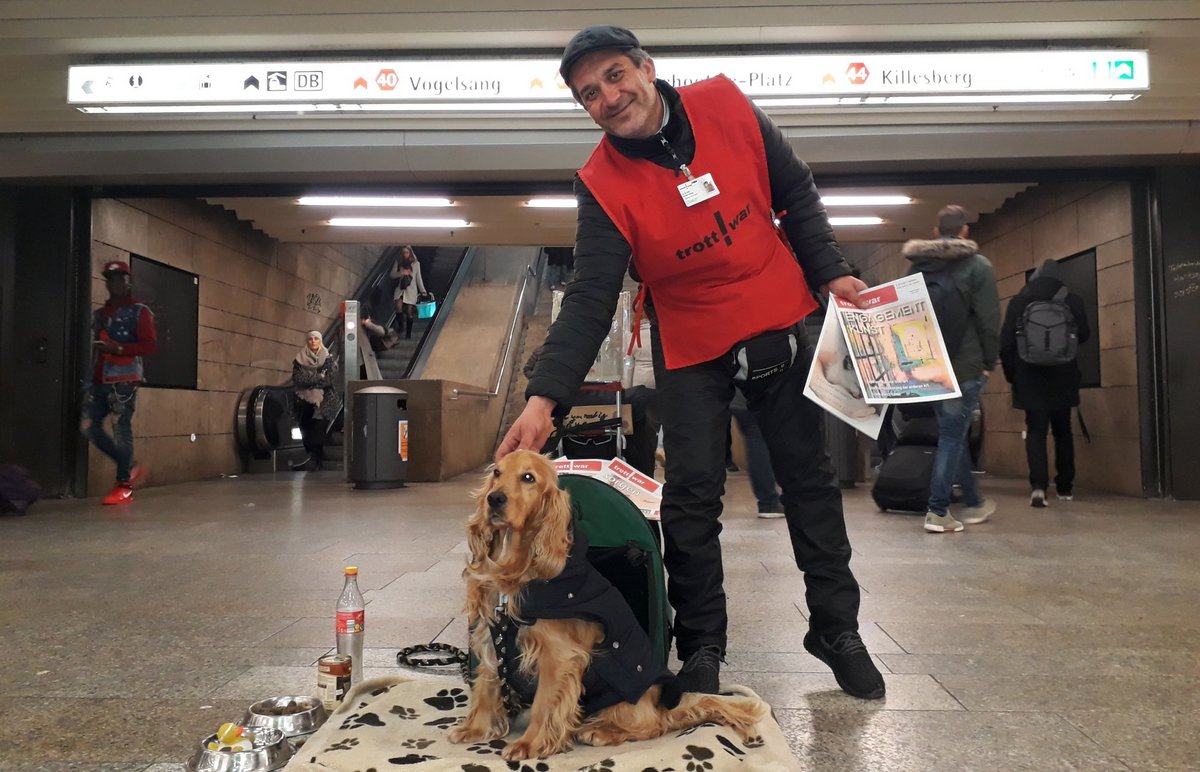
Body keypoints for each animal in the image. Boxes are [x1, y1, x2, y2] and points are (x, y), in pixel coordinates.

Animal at [446, 449, 763, 763]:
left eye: (528, 478)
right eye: (497, 473)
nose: (495, 499)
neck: (517, 568)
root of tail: (664, 705)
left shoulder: (558, 656)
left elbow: (543, 703)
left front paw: (529, 744)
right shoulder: (492, 637)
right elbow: (486, 688)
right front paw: (475, 730)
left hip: (624, 701)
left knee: (652, 725)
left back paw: (600, 731)